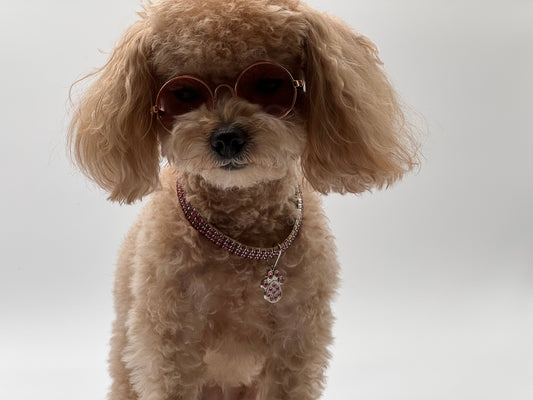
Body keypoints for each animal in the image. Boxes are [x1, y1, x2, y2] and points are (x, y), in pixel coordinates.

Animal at [67, 0, 416, 396]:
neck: (241, 237)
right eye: (183, 94)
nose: (227, 137)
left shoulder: (297, 338)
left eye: (268, 84)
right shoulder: (170, 338)